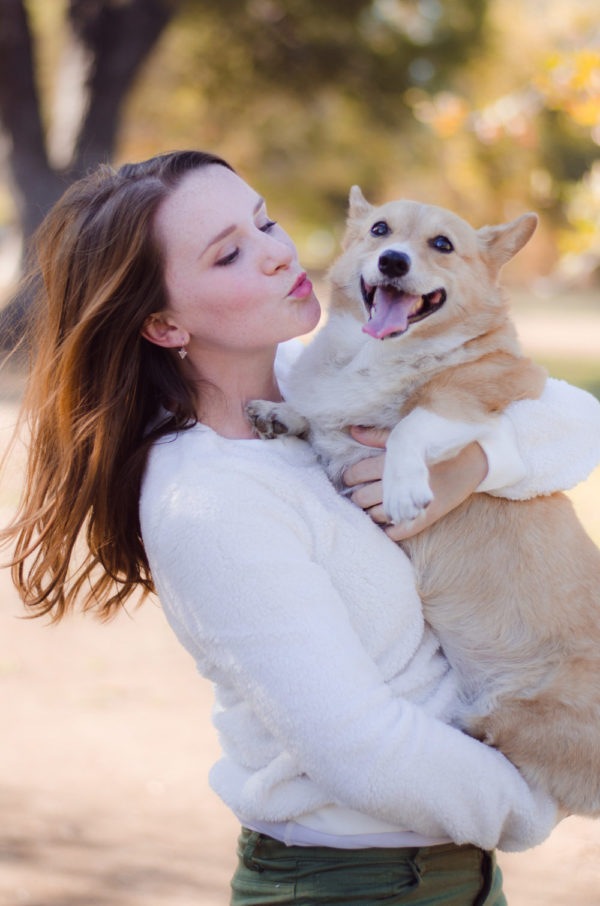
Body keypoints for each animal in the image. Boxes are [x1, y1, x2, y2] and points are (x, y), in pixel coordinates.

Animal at [247, 189, 600, 812]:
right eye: (380, 230)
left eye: (441, 244)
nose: (392, 261)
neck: (372, 358)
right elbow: (316, 416)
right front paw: (282, 413)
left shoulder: (497, 391)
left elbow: (416, 417)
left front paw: (403, 486)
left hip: (522, 713)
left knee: (495, 740)